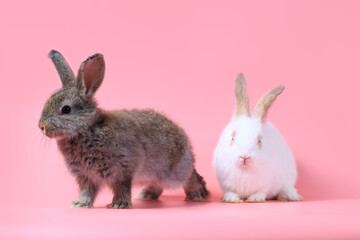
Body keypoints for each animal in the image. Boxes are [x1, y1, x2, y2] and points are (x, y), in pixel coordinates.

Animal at [38, 50, 208, 208]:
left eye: (66, 109)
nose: (41, 126)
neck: (87, 127)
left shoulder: (123, 169)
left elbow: (122, 187)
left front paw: (119, 204)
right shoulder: (86, 176)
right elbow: (87, 191)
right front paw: (80, 204)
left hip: (175, 171)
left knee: (190, 177)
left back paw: (197, 195)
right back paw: (146, 195)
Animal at [212, 73, 302, 202]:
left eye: (259, 141)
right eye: (232, 138)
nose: (244, 156)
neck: (245, 170)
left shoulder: (265, 184)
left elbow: (260, 192)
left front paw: (255, 198)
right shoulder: (226, 185)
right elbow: (230, 191)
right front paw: (231, 198)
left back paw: (291, 195)